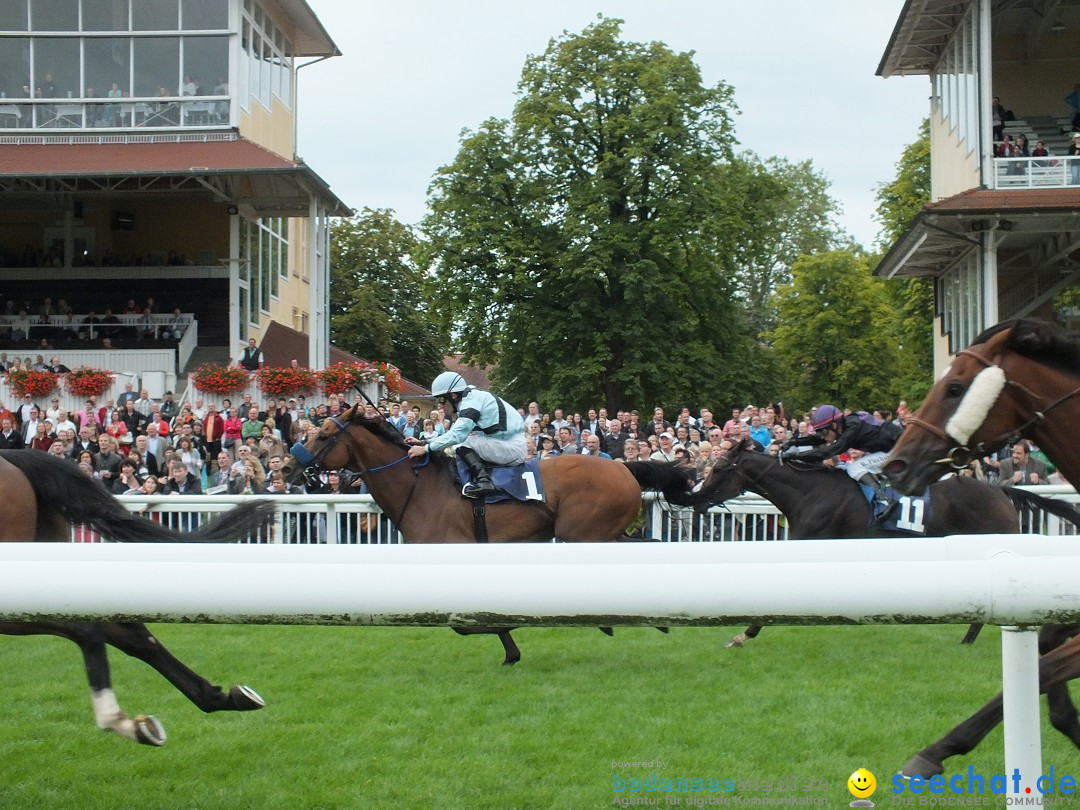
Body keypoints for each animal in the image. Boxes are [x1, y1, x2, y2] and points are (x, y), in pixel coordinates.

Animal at [282, 406, 695, 665]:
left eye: (324, 434)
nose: (287, 468)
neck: (421, 488)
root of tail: (624, 468)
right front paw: (511, 651)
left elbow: (467, 623)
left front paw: (512, 636)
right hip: (598, 535)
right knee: (652, 546)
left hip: (585, 535)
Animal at [881, 319, 1080, 781]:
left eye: (955, 388)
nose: (893, 466)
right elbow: (1046, 644)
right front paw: (1067, 719)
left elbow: (1040, 667)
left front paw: (934, 752)